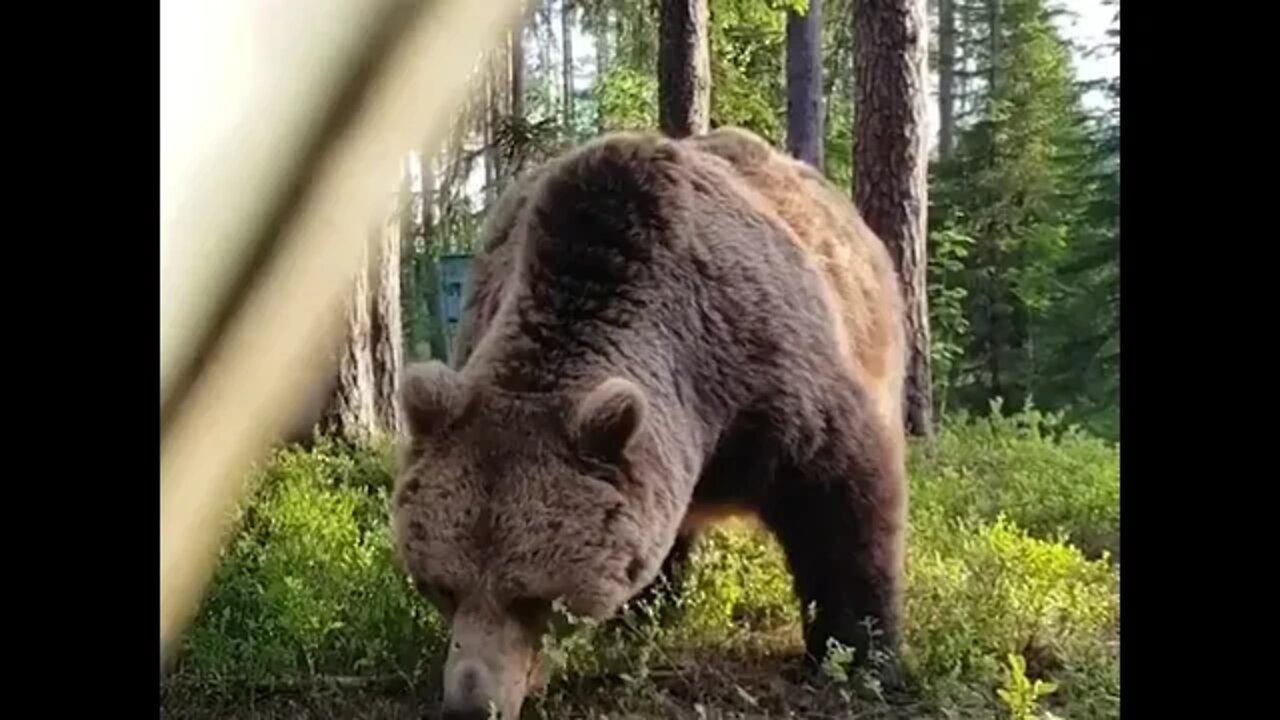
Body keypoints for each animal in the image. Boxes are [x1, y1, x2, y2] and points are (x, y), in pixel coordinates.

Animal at [394, 126, 906, 712]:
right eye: (440, 585)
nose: (472, 704)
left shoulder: (776, 376)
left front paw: (860, 656)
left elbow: (842, 500)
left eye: (534, 598)